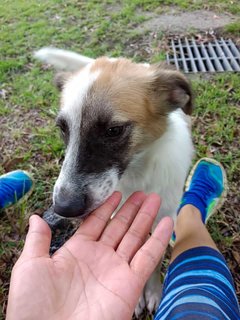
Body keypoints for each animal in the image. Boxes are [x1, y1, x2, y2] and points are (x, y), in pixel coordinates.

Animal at [34, 47, 194, 316]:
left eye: (114, 130)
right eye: (63, 129)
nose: (63, 208)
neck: (137, 173)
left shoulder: (165, 215)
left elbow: (154, 255)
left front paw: (152, 291)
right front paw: (137, 296)